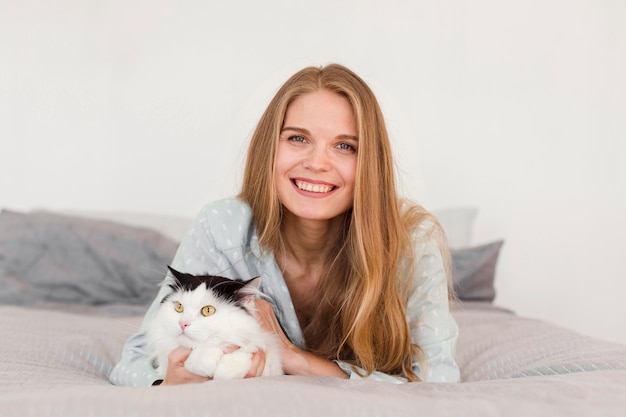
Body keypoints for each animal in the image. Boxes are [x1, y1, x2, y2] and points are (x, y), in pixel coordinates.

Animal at [145, 266, 282, 380]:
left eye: (208, 310)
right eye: (179, 307)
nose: (182, 323)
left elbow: (247, 350)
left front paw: (227, 369)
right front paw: (206, 359)